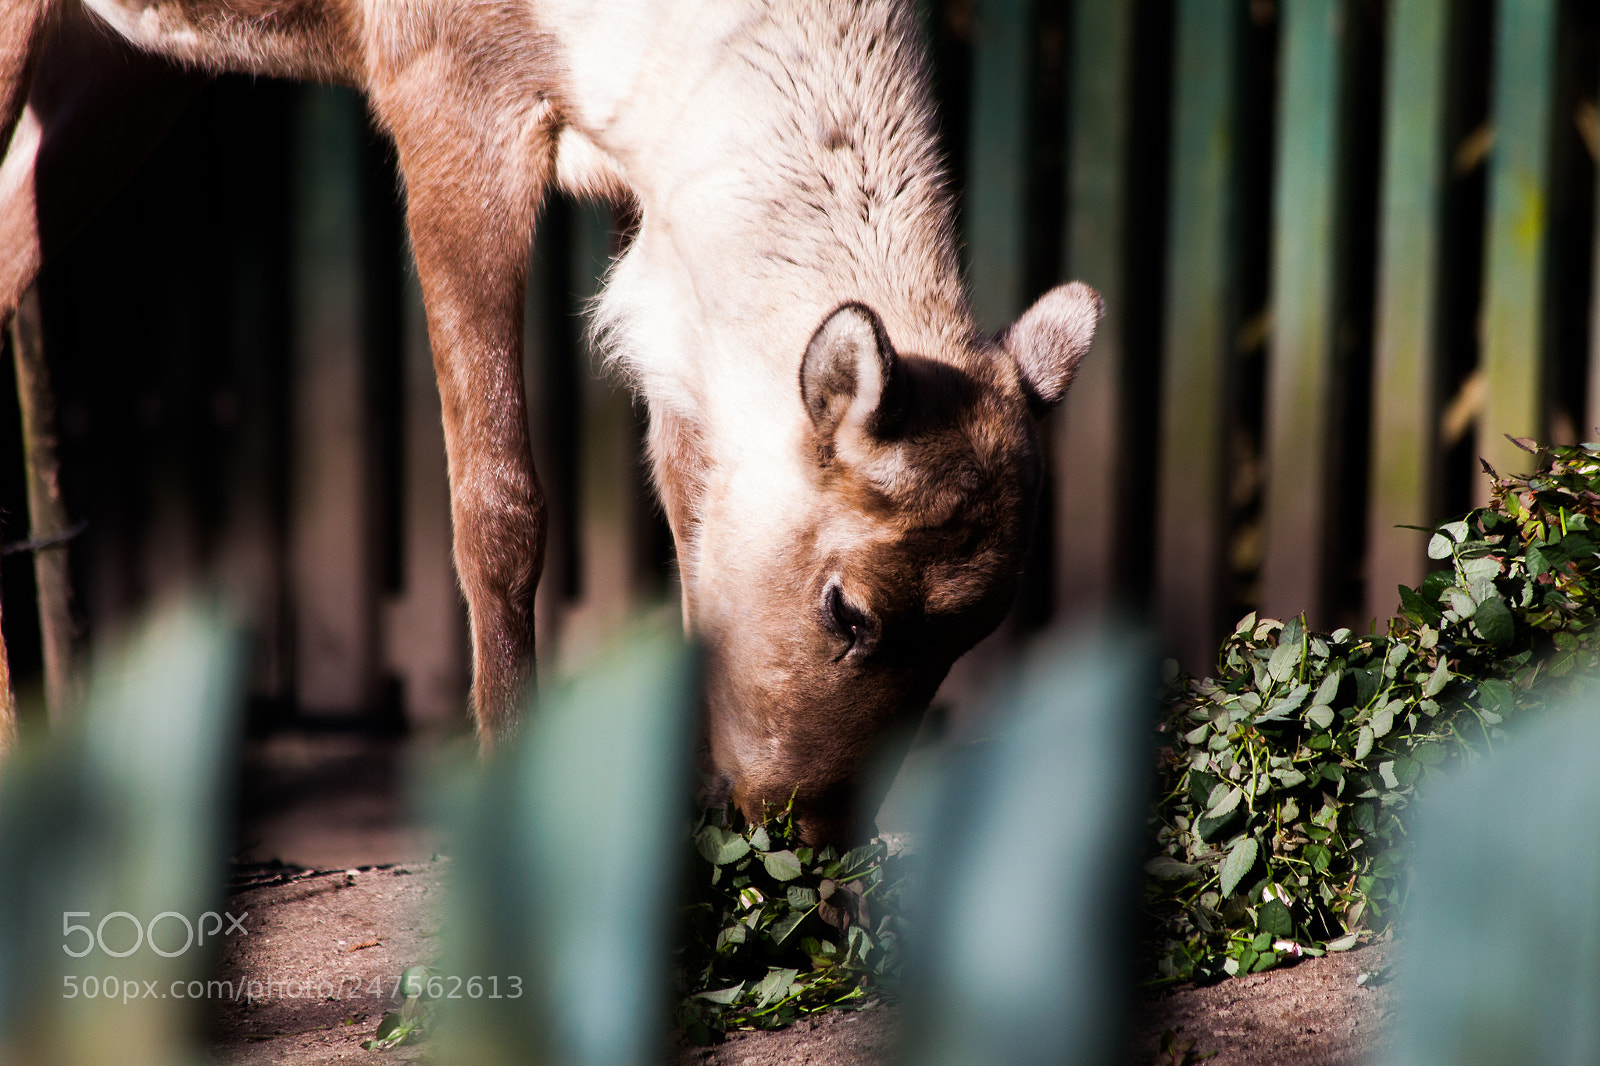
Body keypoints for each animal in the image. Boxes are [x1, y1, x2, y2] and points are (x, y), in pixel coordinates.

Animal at [0, 0, 1101, 844]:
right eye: (849, 610)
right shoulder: (441, 87)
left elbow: (682, 491)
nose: (812, 830)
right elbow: (499, 508)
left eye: (978, 632)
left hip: (132, 62)